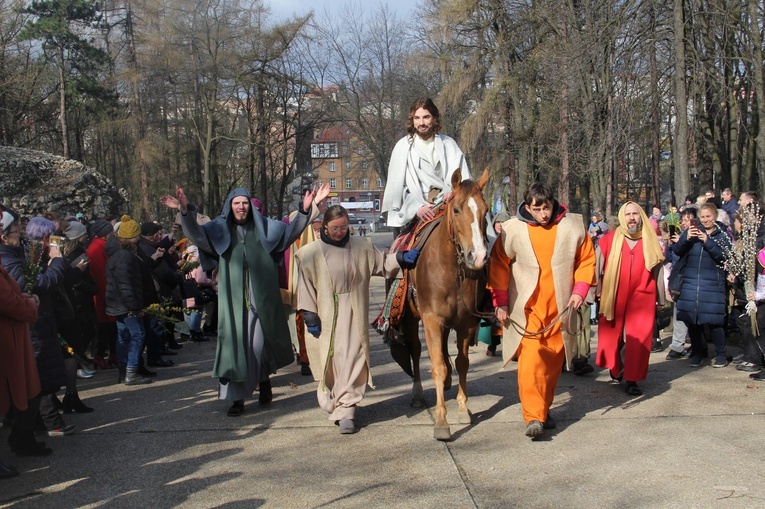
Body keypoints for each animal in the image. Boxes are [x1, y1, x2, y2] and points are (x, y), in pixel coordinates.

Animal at [394, 168, 490, 440]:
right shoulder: (432, 320)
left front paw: (463, 409)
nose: (478, 256)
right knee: (416, 351)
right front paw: (441, 421)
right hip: (411, 318)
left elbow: (462, 364)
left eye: (486, 210)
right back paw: (417, 393)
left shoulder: (467, 323)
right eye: (456, 210)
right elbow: (437, 366)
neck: (451, 269)